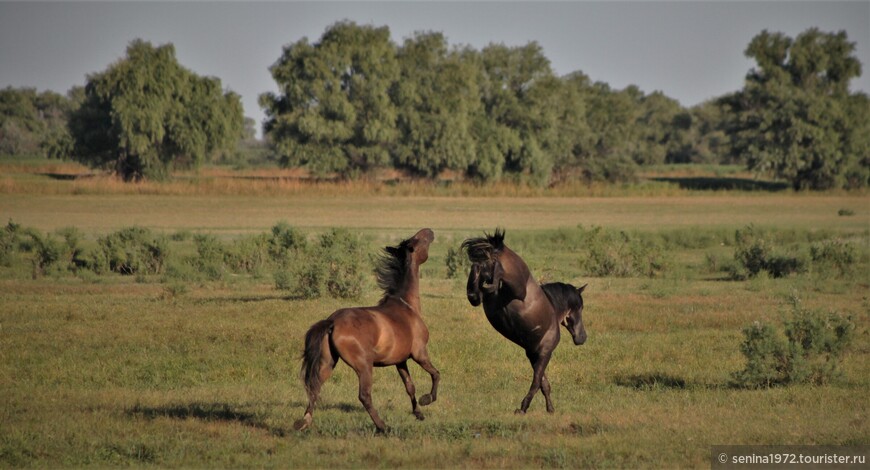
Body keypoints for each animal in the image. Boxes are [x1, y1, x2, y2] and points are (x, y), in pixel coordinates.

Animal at [294, 229, 442, 434]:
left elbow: (410, 386)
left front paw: (418, 413)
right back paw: (383, 426)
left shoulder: (400, 361)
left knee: (314, 388)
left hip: (328, 362)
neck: (407, 306)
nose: (430, 231)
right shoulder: (419, 353)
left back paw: (304, 423)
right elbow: (436, 374)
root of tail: (332, 321)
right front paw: (427, 399)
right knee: (364, 395)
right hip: (364, 365)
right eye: (419, 239)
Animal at [464, 229, 584, 414]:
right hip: (516, 287)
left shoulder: (533, 354)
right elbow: (536, 382)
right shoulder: (545, 353)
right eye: (581, 308)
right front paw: (523, 407)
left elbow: (544, 384)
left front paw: (550, 409)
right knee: (494, 276)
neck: (553, 310)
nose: (582, 337)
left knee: (476, 289)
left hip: (480, 294)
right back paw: (495, 268)